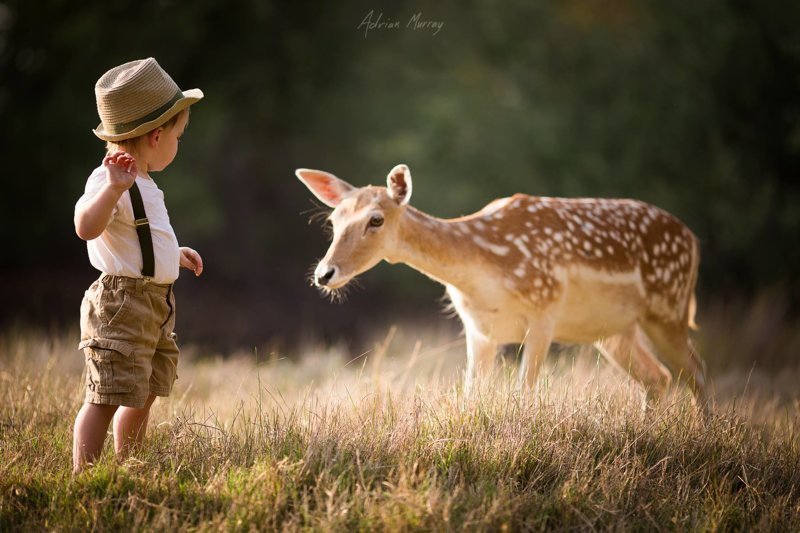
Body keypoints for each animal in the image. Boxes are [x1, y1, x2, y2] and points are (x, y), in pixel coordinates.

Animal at [296, 163, 708, 408]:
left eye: (376, 219)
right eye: (334, 219)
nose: (324, 274)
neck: (486, 271)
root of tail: (693, 241)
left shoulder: (545, 310)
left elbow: (524, 393)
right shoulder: (478, 329)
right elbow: (471, 396)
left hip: (668, 307)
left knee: (695, 370)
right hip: (614, 331)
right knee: (659, 378)